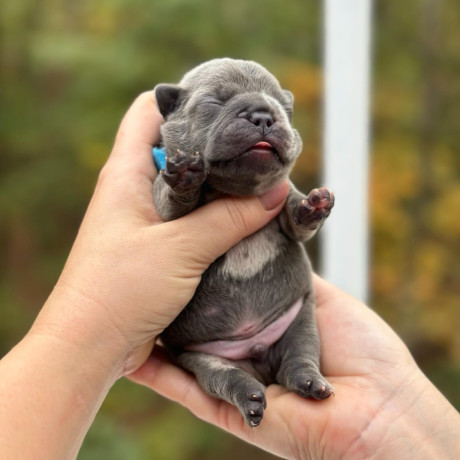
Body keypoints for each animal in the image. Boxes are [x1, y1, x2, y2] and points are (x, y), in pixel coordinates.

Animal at [154, 58, 334, 428]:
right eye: (215, 102)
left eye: (282, 107)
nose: (264, 115)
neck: (237, 190)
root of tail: (256, 353)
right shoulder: (164, 210)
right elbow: (171, 202)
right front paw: (184, 179)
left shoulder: (284, 202)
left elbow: (296, 219)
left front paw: (313, 206)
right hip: (202, 359)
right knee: (224, 377)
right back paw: (249, 396)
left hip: (301, 325)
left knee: (300, 358)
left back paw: (311, 382)